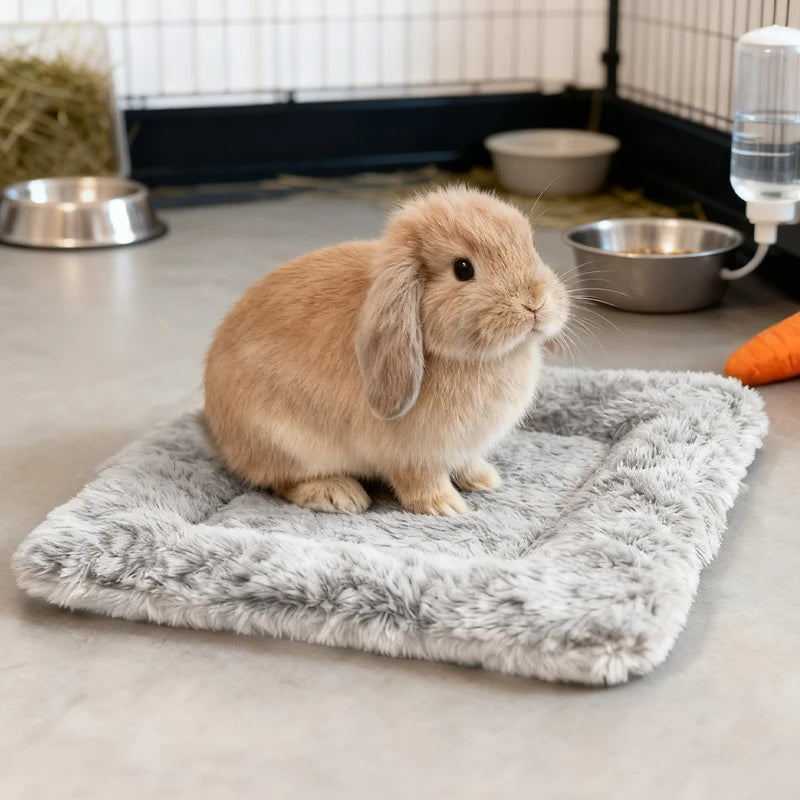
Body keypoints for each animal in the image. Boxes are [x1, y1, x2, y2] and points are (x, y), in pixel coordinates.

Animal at [204, 187, 570, 516]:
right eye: (463, 268)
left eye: (531, 245)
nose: (535, 302)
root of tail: (218, 428)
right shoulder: (415, 455)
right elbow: (420, 480)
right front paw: (444, 506)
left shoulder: (463, 446)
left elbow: (467, 462)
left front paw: (484, 479)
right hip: (285, 442)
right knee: (281, 480)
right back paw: (339, 495)